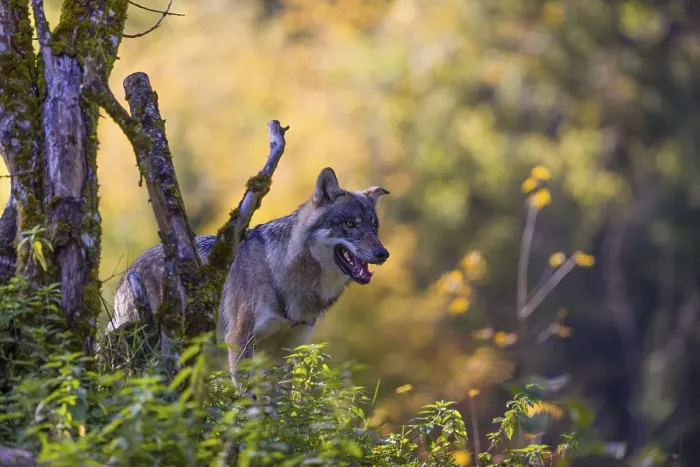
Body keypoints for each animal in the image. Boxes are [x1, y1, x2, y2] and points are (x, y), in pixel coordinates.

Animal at [111, 167, 389, 372]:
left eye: (374, 227)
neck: (283, 272)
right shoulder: (239, 341)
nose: (383, 254)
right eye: (350, 224)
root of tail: (129, 271)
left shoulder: (285, 351)